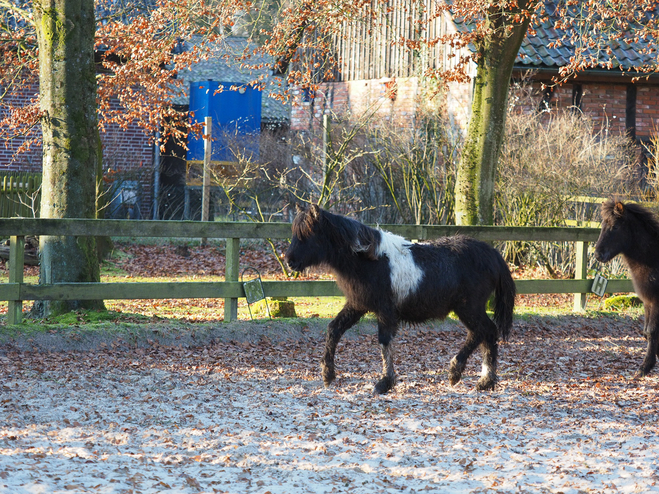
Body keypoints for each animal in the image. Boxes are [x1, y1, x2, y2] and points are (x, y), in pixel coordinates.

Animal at [286, 204, 520, 394]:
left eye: (308, 234)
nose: (289, 261)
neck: (371, 259)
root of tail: (493, 254)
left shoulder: (385, 310)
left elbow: (384, 341)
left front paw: (385, 382)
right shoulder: (357, 305)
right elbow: (334, 329)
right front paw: (328, 375)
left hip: (469, 307)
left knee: (483, 331)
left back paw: (457, 372)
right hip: (469, 309)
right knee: (486, 333)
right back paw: (485, 382)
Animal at [596, 199, 659, 376]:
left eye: (615, 226)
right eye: (602, 225)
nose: (598, 255)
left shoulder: (656, 301)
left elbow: (651, 331)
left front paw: (645, 367)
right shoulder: (647, 302)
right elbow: (646, 332)